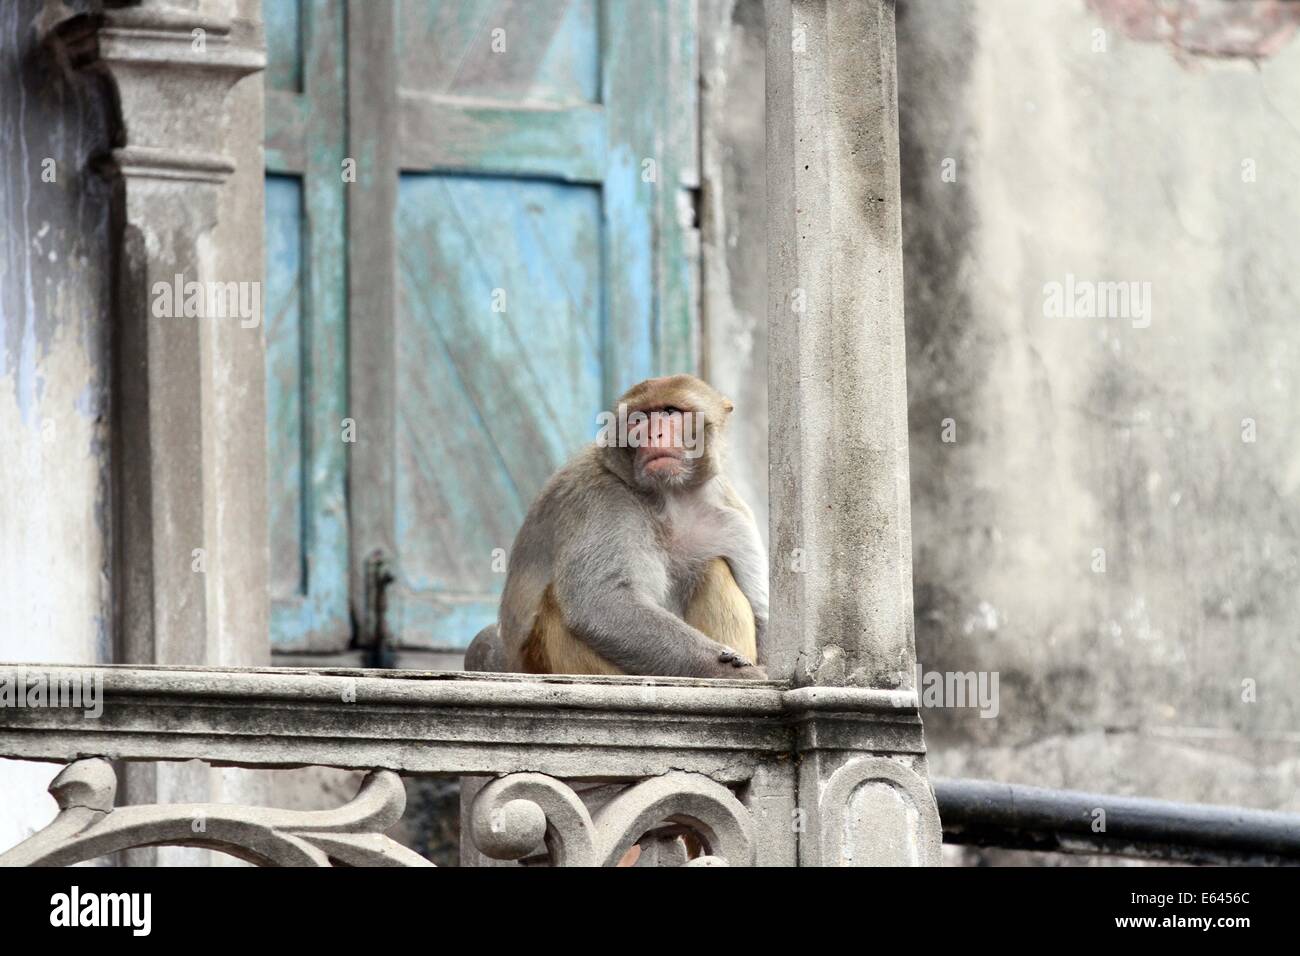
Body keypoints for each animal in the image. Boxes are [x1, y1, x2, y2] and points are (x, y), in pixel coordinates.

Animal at [465, 374, 768, 681]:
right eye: (638, 419)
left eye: (670, 412)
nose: (652, 435)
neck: (671, 497)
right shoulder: (601, 496)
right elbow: (600, 601)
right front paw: (732, 672)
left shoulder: (734, 518)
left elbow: (762, 616)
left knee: (714, 567)